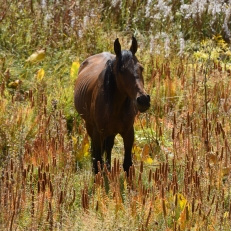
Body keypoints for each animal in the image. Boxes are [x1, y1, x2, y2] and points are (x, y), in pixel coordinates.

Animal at [74, 36, 150, 173]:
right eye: (122, 70)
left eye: (141, 68)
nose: (143, 100)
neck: (115, 107)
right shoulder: (98, 133)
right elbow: (97, 162)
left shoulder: (128, 133)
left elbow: (127, 164)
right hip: (90, 126)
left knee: (108, 147)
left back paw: (108, 169)